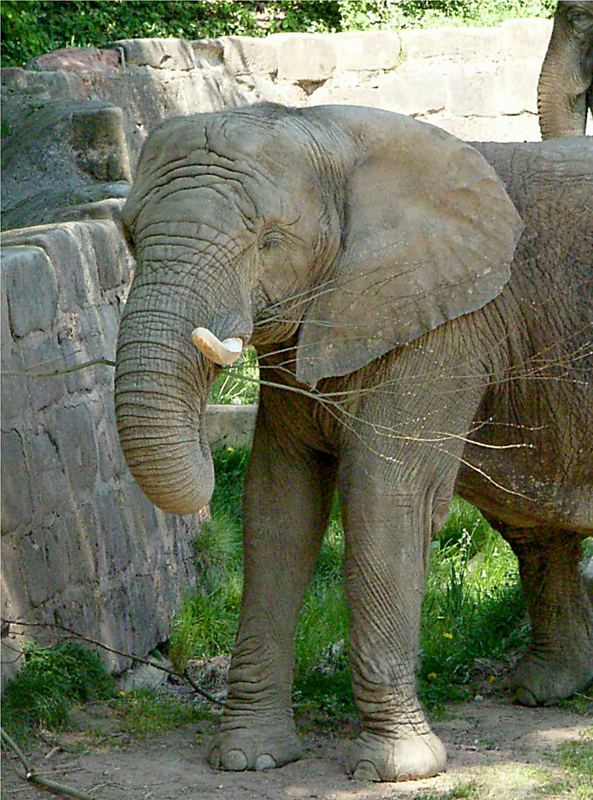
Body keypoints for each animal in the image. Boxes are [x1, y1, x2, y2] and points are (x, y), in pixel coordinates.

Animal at [114, 104, 592, 780]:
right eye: (130, 237)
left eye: (269, 242)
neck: (331, 136)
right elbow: (279, 501)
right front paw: (249, 758)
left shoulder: (444, 326)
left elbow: (383, 493)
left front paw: (397, 769)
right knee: (531, 525)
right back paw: (546, 688)